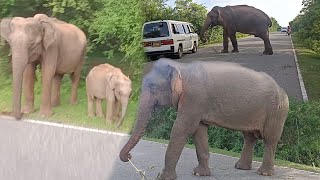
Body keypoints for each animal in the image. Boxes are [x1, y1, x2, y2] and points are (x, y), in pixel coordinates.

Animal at [120, 58, 290, 179]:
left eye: (153, 86)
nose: (128, 156)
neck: (181, 67)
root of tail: (283, 91)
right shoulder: (197, 105)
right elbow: (199, 131)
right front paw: (199, 174)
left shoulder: (194, 98)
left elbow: (182, 129)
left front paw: (163, 177)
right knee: (249, 137)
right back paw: (241, 167)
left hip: (277, 111)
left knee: (270, 139)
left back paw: (263, 173)